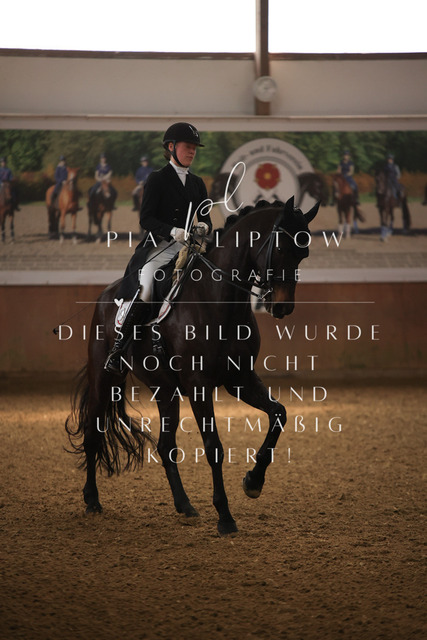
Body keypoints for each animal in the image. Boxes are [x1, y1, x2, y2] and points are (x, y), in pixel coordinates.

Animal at [65, 197, 320, 535]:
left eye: (304, 253)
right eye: (280, 248)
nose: (281, 307)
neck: (219, 301)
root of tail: (107, 295)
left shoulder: (240, 379)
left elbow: (279, 414)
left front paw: (253, 481)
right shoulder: (200, 386)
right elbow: (214, 447)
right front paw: (225, 516)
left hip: (165, 390)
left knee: (165, 446)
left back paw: (184, 505)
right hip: (103, 378)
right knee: (93, 433)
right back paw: (92, 500)